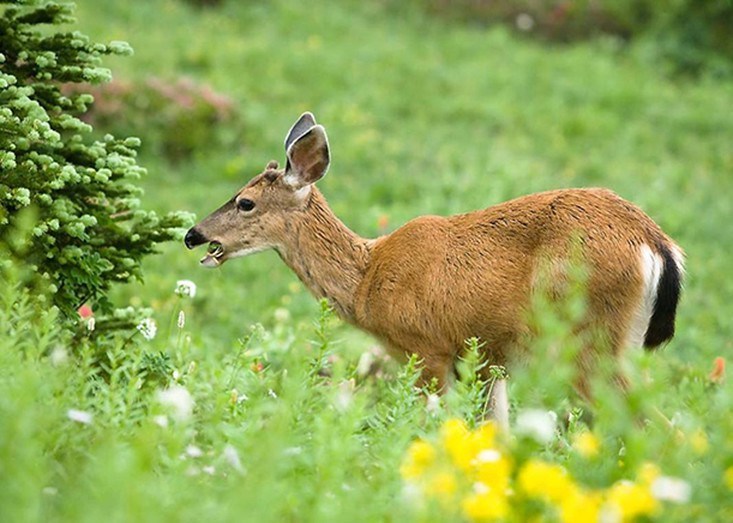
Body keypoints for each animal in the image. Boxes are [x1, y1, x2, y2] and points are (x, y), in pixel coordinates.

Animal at [182, 111, 680, 430]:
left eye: (246, 202)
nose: (193, 235)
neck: (367, 281)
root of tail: (656, 243)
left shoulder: (427, 351)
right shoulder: (486, 364)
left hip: (588, 344)